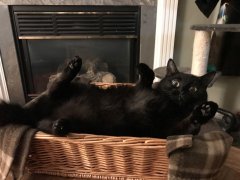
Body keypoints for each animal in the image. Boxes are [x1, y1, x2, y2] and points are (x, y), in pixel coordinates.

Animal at [0, 56, 218, 138]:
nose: (181, 92)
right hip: (73, 88)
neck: (171, 105)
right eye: (175, 83)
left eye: (194, 89)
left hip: (50, 119)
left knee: (41, 124)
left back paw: (58, 126)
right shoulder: (141, 89)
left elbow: (190, 125)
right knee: (55, 85)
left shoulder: (169, 130)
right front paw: (143, 68)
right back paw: (73, 65)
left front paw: (206, 110)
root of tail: (27, 111)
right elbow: (146, 80)